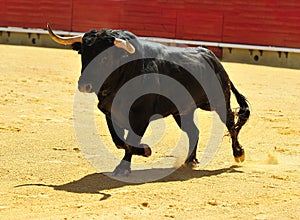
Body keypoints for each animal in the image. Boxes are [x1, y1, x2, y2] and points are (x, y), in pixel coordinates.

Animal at [47, 25, 250, 176]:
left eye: (105, 57)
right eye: (83, 54)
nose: (84, 85)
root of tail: (211, 57)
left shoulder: (141, 115)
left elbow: (131, 139)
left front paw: (126, 165)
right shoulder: (108, 111)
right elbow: (119, 140)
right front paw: (143, 150)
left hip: (218, 101)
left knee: (230, 123)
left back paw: (238, 153)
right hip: (182, 110)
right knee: (194, 131)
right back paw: (190, 160)